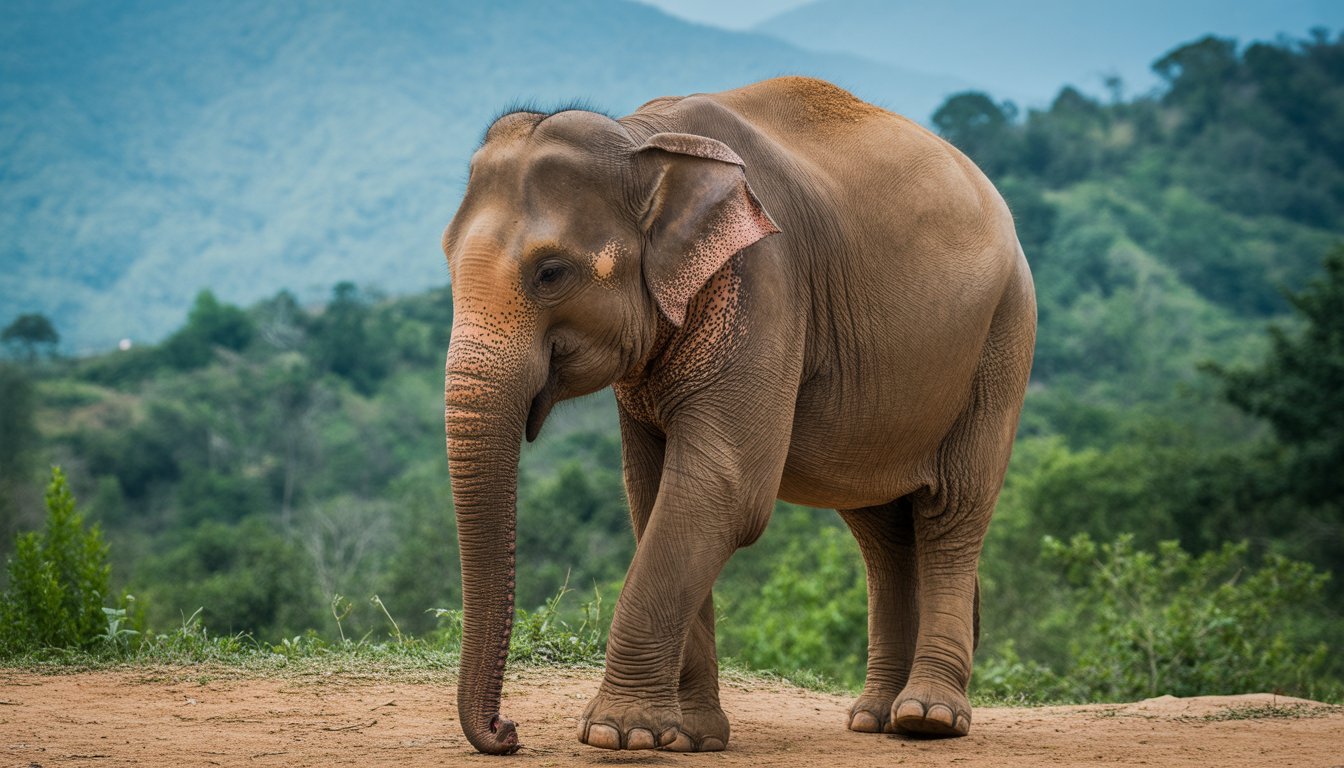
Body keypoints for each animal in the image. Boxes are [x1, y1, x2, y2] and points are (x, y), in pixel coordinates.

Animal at [441, 76, 1036, 755]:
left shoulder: (765, 282)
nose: (508, 732)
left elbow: (720, 490)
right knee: (881, 529)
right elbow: (654, 494)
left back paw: (928, 719)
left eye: (550, 272)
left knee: (951, 510)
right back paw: (875, 718)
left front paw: (619, 734)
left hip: (1002, 337)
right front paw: (688, 737)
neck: (641, 141)